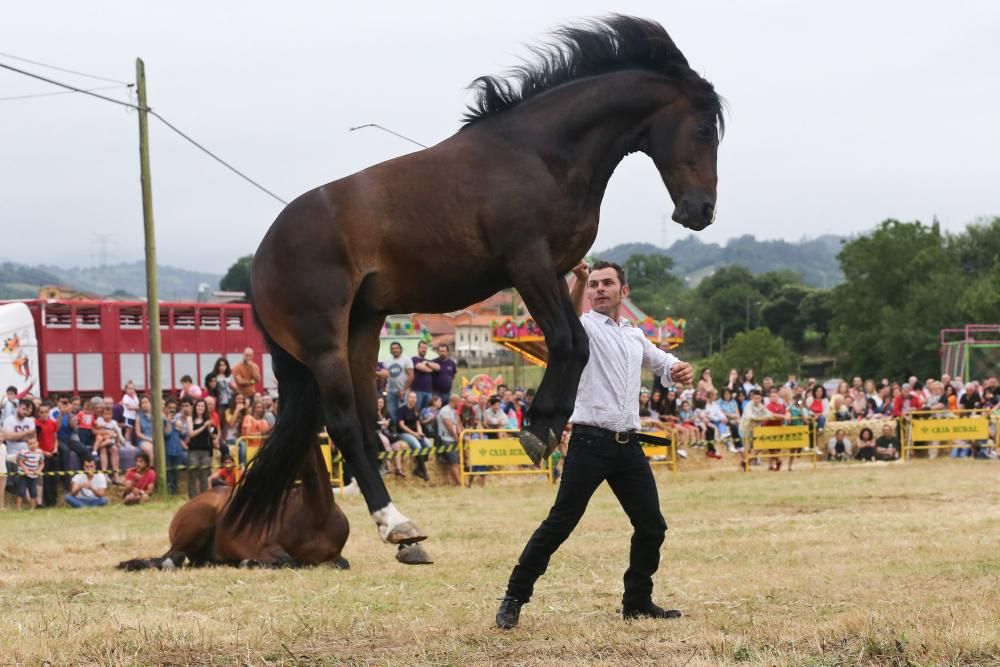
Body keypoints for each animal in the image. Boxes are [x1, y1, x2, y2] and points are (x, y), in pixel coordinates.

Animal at [228, 15, 724, 560]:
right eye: (704, 129)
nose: (701, 211)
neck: (540, 154)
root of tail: (264, 256)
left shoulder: (553, 270)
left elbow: (578, 342)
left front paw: (548, 424)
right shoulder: (528, 264)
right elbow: (567, 342)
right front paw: (538, 428)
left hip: (361, 331)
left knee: (359, 426)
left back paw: (396, 532)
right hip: (324, 347)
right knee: (343, 427)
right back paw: (394, 525)